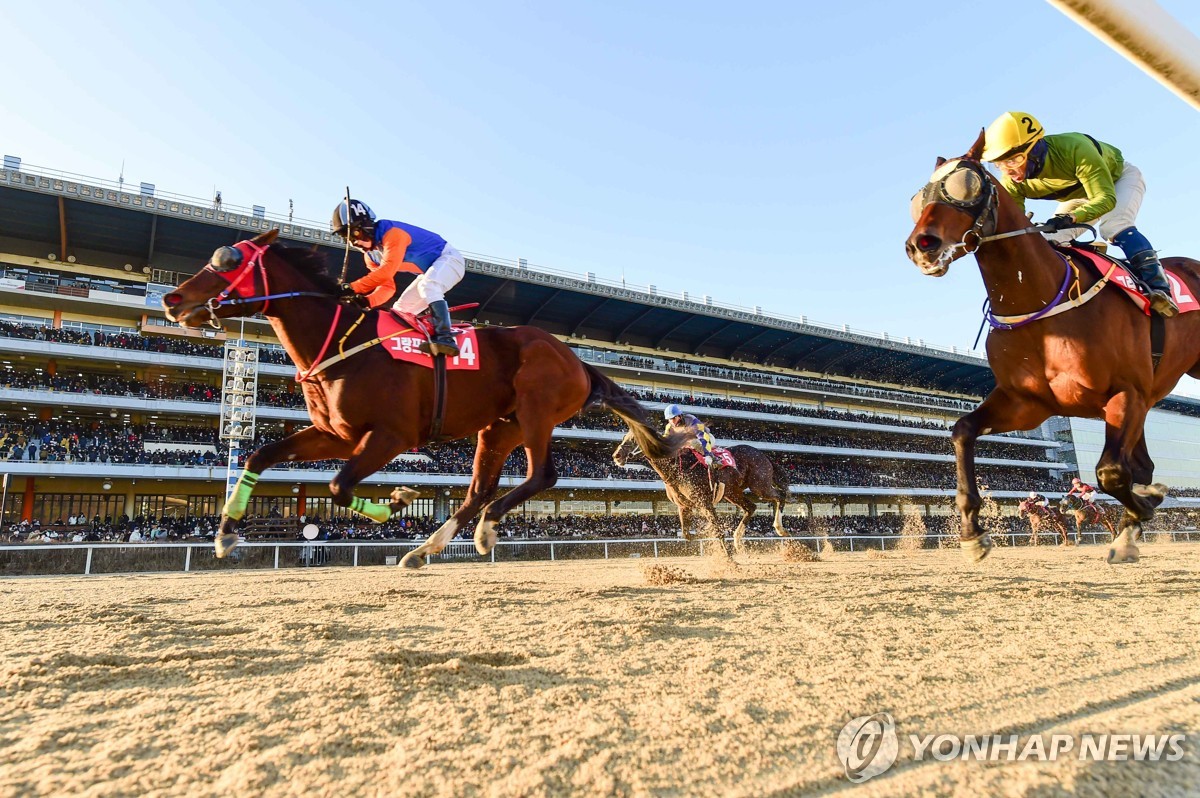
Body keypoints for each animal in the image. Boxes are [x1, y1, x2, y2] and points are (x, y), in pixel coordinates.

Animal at [163, 229, 686, 566]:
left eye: (228, 261)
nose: (172, 299)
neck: (342, 343)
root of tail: (577, 359)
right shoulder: (337, 433)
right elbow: (260, 454)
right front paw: (226, 534)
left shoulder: (390, 436)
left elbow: (338, 486)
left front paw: (398, 500)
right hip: (500, 426)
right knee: (479, 490)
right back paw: (428, 548)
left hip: (537, 408)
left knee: (542, 476)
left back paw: (484, 529)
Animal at [614, 429, 792, 554]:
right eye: (624, 437)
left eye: (634, 439)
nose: (617, 455)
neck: (677, 468)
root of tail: (764, 455)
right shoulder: (683, 506)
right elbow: (687, 534)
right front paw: (704, 533)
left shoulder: (705, 503)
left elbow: (717, 531)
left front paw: (731, 562)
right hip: (732, 493)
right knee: (751, 507)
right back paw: (738, 541)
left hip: (760, 486)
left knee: (780, 496)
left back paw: (780, 528)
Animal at [907, 130, 1200, 564]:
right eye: (918, 199)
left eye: (966, 186)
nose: (920, 245)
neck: (1041, 300)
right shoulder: (1028, 404)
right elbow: (962, 430)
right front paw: (973, 533)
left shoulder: (1125, 392)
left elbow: (1111, 472)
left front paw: (1145, 507)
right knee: (1143, 465)